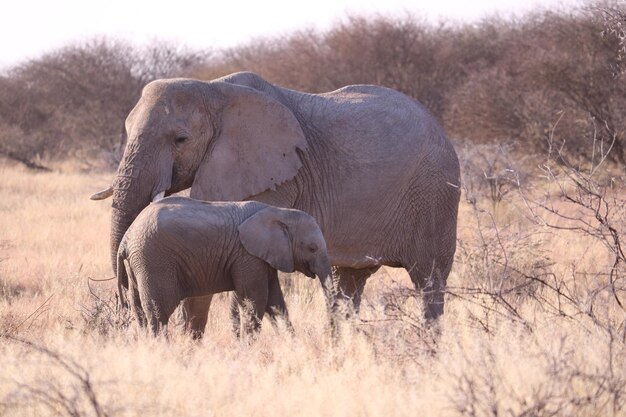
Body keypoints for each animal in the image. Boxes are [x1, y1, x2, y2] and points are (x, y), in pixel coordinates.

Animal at [115, 197, 334, 336]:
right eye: (312, 248)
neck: (278, 212)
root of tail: (126, 238)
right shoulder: (248, 257)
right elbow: (257, 301)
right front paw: (248, 350)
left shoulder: (263, 259)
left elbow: (275, 303)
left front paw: (291, 344)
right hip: (153, 261)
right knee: (158, 313)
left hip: (138, 263)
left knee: (140, 312)